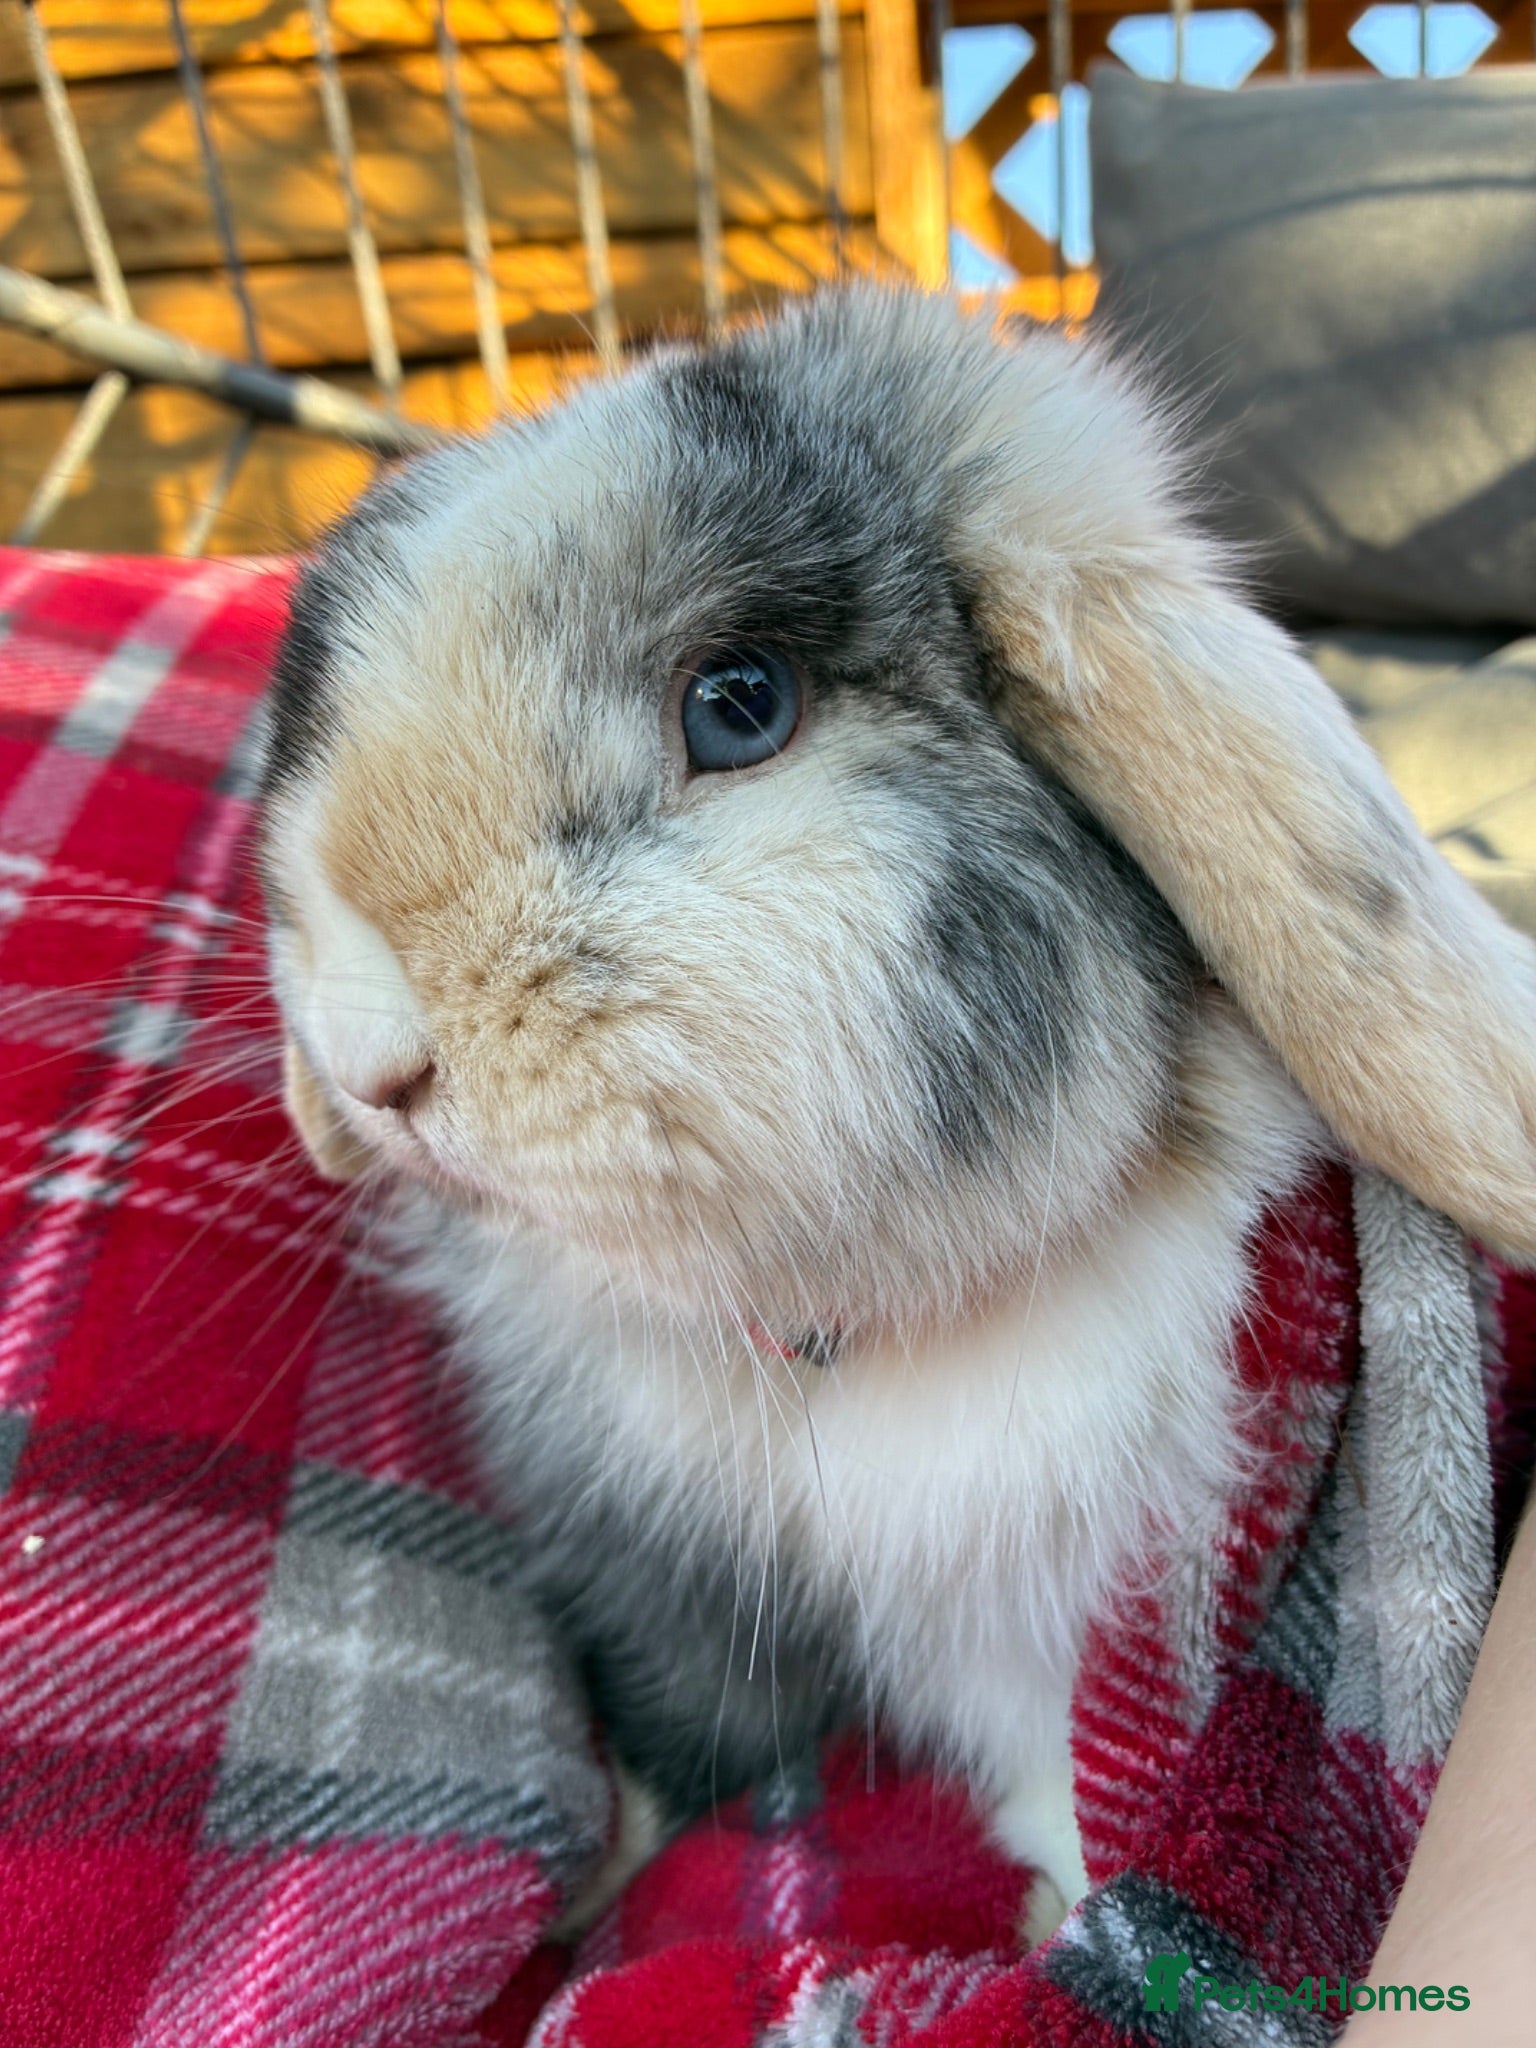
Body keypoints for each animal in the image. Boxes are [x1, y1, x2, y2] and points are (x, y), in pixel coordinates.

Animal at [260, 286, 1536, 1934]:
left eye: (741, 704)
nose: (373, 1066)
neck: (830, 1333)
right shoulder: (662, 1585)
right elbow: (682, 1741)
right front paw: (599, 1885)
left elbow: (1066, 1779)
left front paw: (1060, 1921)